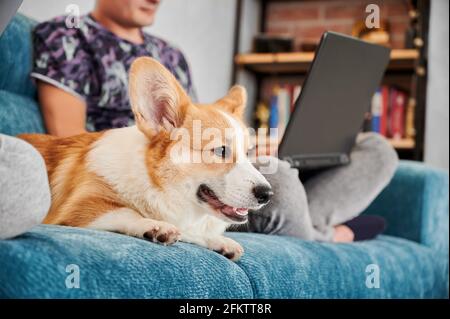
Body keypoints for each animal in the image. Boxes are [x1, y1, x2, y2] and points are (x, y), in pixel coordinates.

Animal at [19, 57, 272, 262]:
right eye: (220, 151)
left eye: (248, 152)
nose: (267, 195)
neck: (154, 183)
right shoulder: (79, 208)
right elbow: (129, 212)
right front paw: (154, 225)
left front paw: (218, 241)